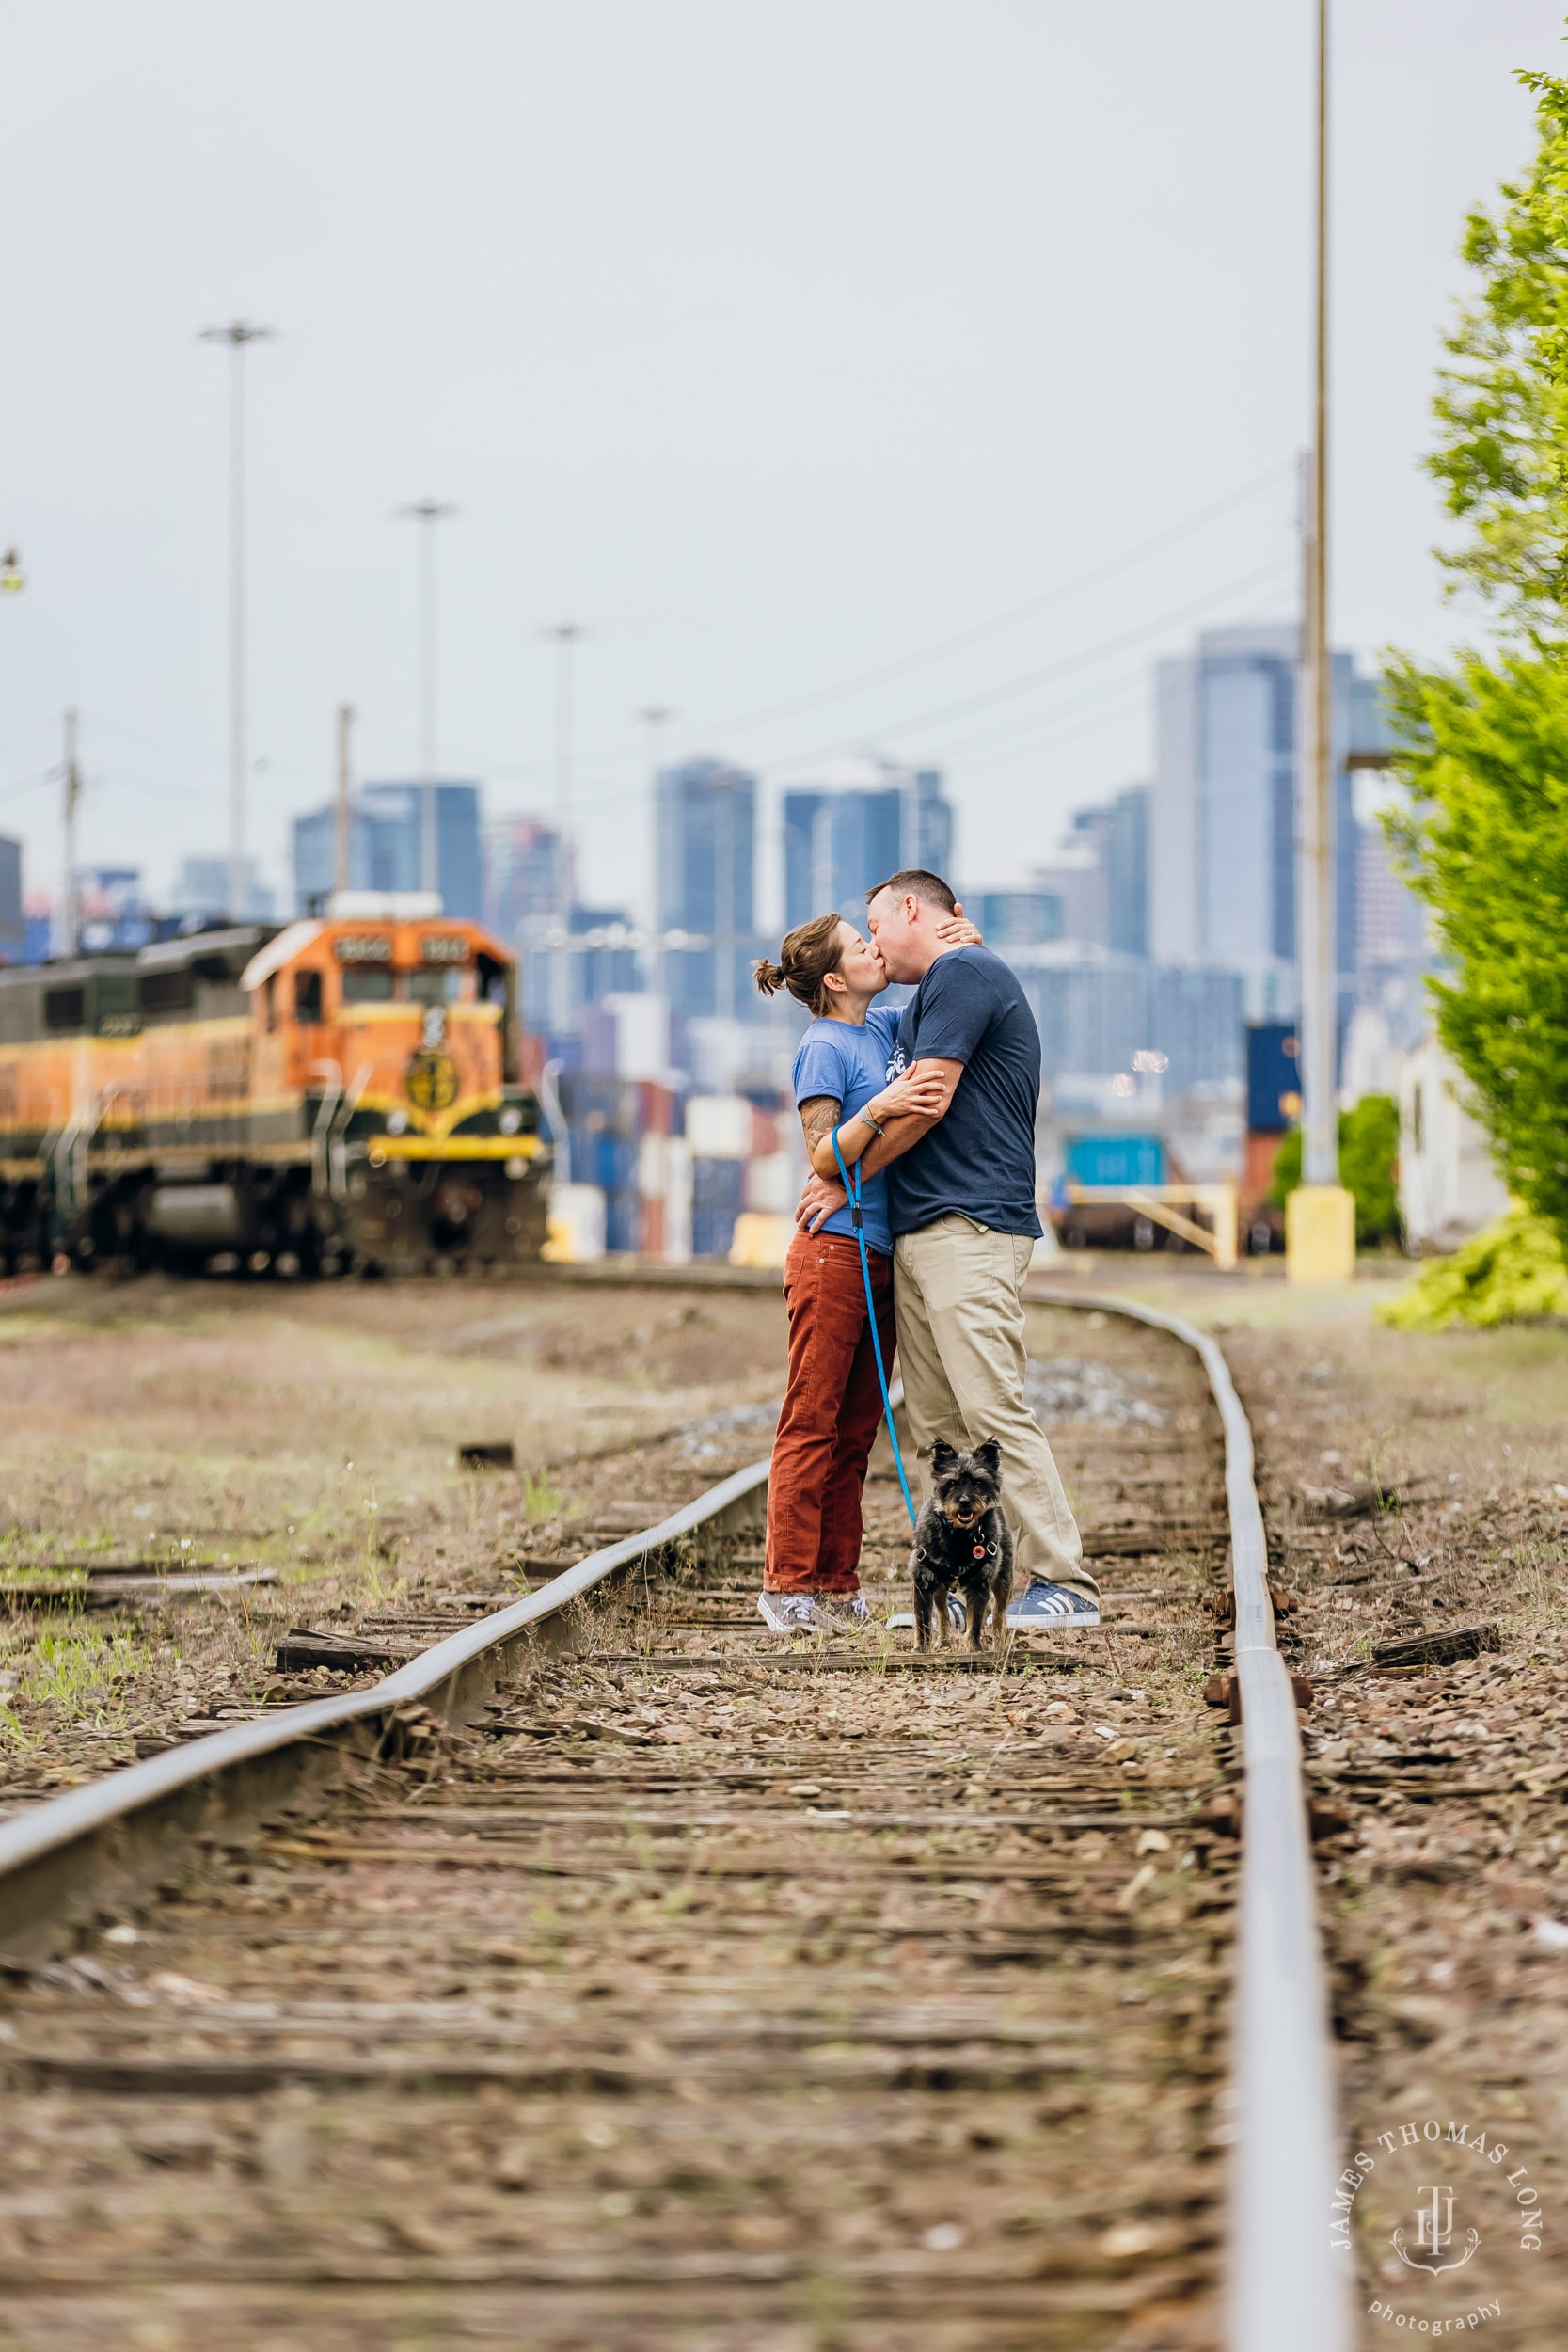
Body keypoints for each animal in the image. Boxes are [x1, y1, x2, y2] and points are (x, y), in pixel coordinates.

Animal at [911, 1430, 1010, 1656]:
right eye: (952, 1483)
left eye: (979, 1482)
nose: (965, 1501)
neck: (958, 1535)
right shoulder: (923, 1581)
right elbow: (923, 1621)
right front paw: (921, 1648)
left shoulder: (979, 1584)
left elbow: (976, 1622)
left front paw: (973, 1648)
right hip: (940, 1588)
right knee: (942, 1613)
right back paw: (943, 1641)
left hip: (1003, 1579)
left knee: (999, 1614)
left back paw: (1000, 1644)